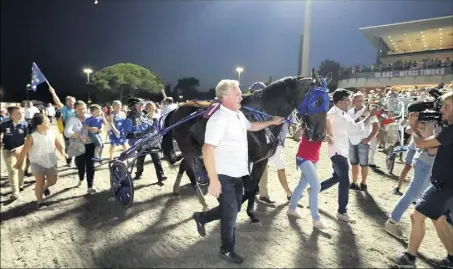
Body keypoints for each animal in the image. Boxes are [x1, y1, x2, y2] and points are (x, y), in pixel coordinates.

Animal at [161, 69, 330, 222]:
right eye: (318, 101)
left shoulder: (262, 160)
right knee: (190, 171)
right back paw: (203, 202)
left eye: (329, 102)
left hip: (195, 149)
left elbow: (253, 186)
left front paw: (251, 213)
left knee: (184, 165)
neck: (260, 115)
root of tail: (177, 109)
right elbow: (247, 187)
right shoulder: (245, 160)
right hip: (188, 149)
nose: (320, 135)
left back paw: (177, 190)